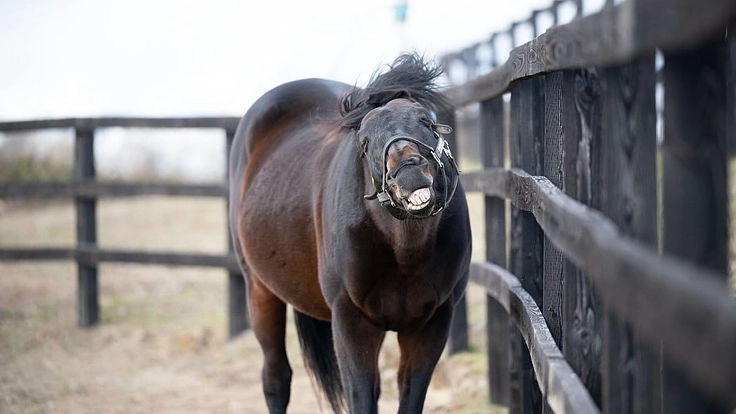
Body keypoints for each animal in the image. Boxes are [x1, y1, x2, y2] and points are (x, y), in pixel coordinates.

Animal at [228, 53, 472, 414]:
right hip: (260, 289)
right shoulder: (350, 322)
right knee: (276, 378)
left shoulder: (432, 323)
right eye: (364, 142)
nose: (409, 173)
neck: (405, 252)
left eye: (426, 122)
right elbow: (361, 398)